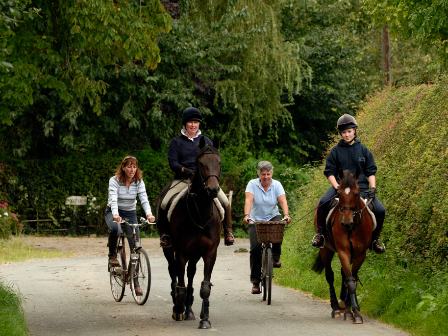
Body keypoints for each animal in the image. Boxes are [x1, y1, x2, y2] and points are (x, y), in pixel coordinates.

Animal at [157, 136, 223, 328]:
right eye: (200, 163)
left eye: (219, 162)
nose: (213, 190)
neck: (200, 213)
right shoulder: (181, 252)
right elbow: (180, 285)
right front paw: (177, 309)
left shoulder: (210, 252)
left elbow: (205, 286)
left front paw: (205, 319)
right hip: (169, 248)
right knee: (173, 271)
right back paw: (179, 306)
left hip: (195, 253)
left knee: (191, 273)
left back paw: (189, 309)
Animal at [312, 169, 374, 324]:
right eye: (339, 194)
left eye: (357, 194)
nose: (346, 223)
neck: (353, 227)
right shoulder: (343, 251)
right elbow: (350, 281)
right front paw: (353, 313)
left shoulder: (360, 254)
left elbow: (352, 279)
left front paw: (351, 310)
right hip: (326, 250)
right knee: (330, 276)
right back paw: (335, 308)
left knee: (344, 275)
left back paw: (342, 304)